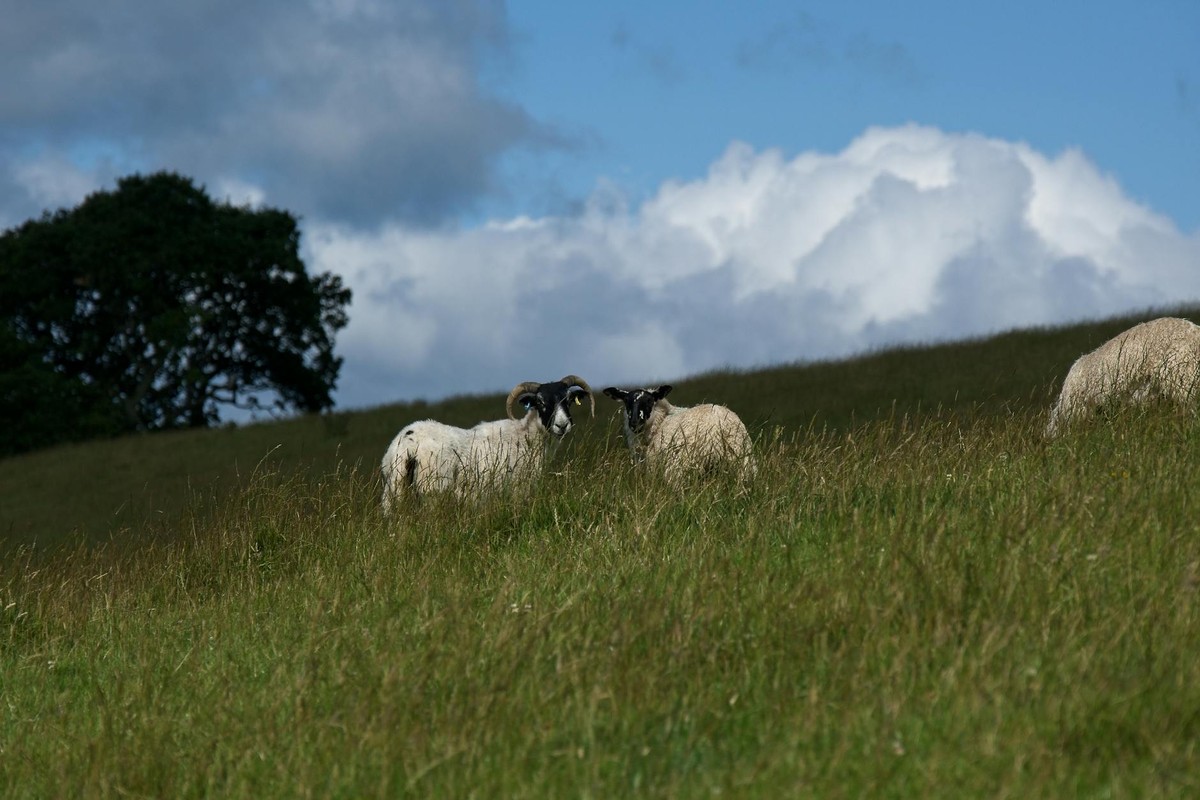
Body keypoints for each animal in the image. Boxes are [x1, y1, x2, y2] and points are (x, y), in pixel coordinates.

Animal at [381, 375, 594, 512]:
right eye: (540, 402)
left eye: (568, 401)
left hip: (393, 490)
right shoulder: (518, 490)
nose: (562, 425)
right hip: (432, 491)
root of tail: (408, 443)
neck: (528, 436)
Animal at [602, 384, 755, 486]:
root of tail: (719, 429)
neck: (661, 421)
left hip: (684, 469)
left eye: (650, 401)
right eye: (626, 402)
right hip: (741, 465)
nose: (634, 423)